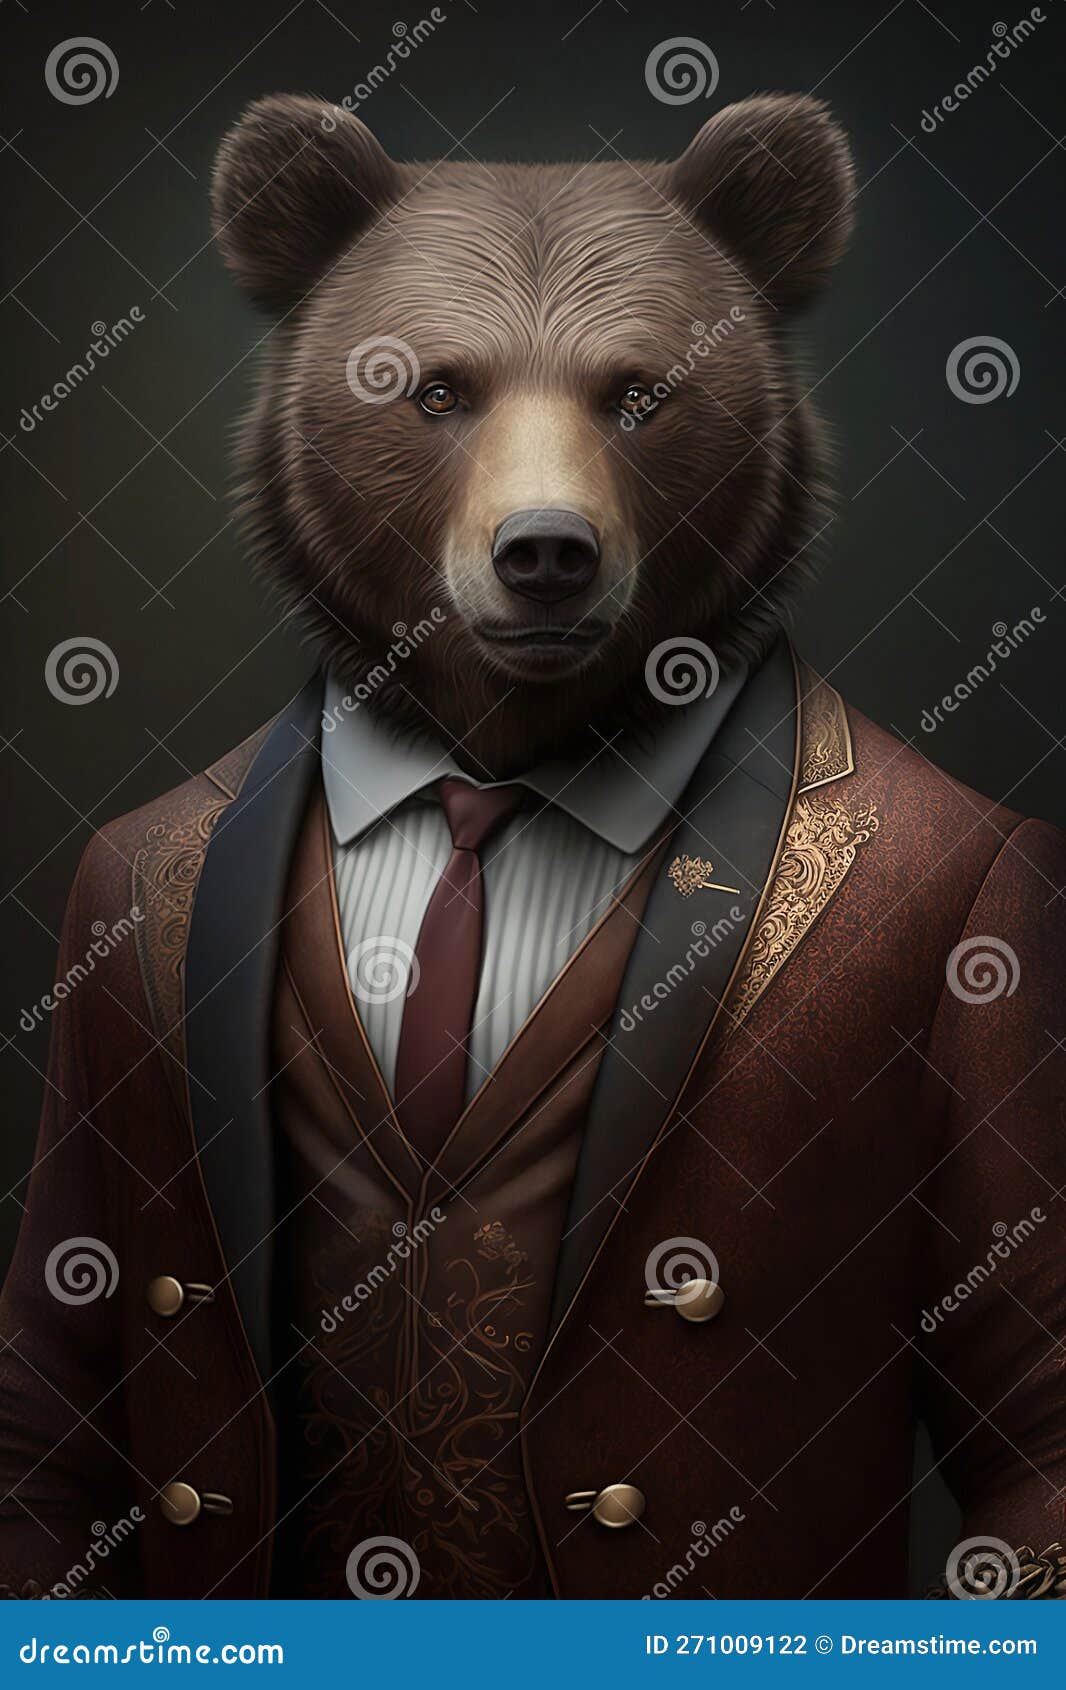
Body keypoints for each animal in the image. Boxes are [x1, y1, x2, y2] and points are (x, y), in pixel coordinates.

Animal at [0, 92, 1063, 1604]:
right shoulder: (119, 940)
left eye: (641, 391)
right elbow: (64, 1352)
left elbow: (1024, 1351)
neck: (492, 775)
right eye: (433, 388)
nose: (546, 551)